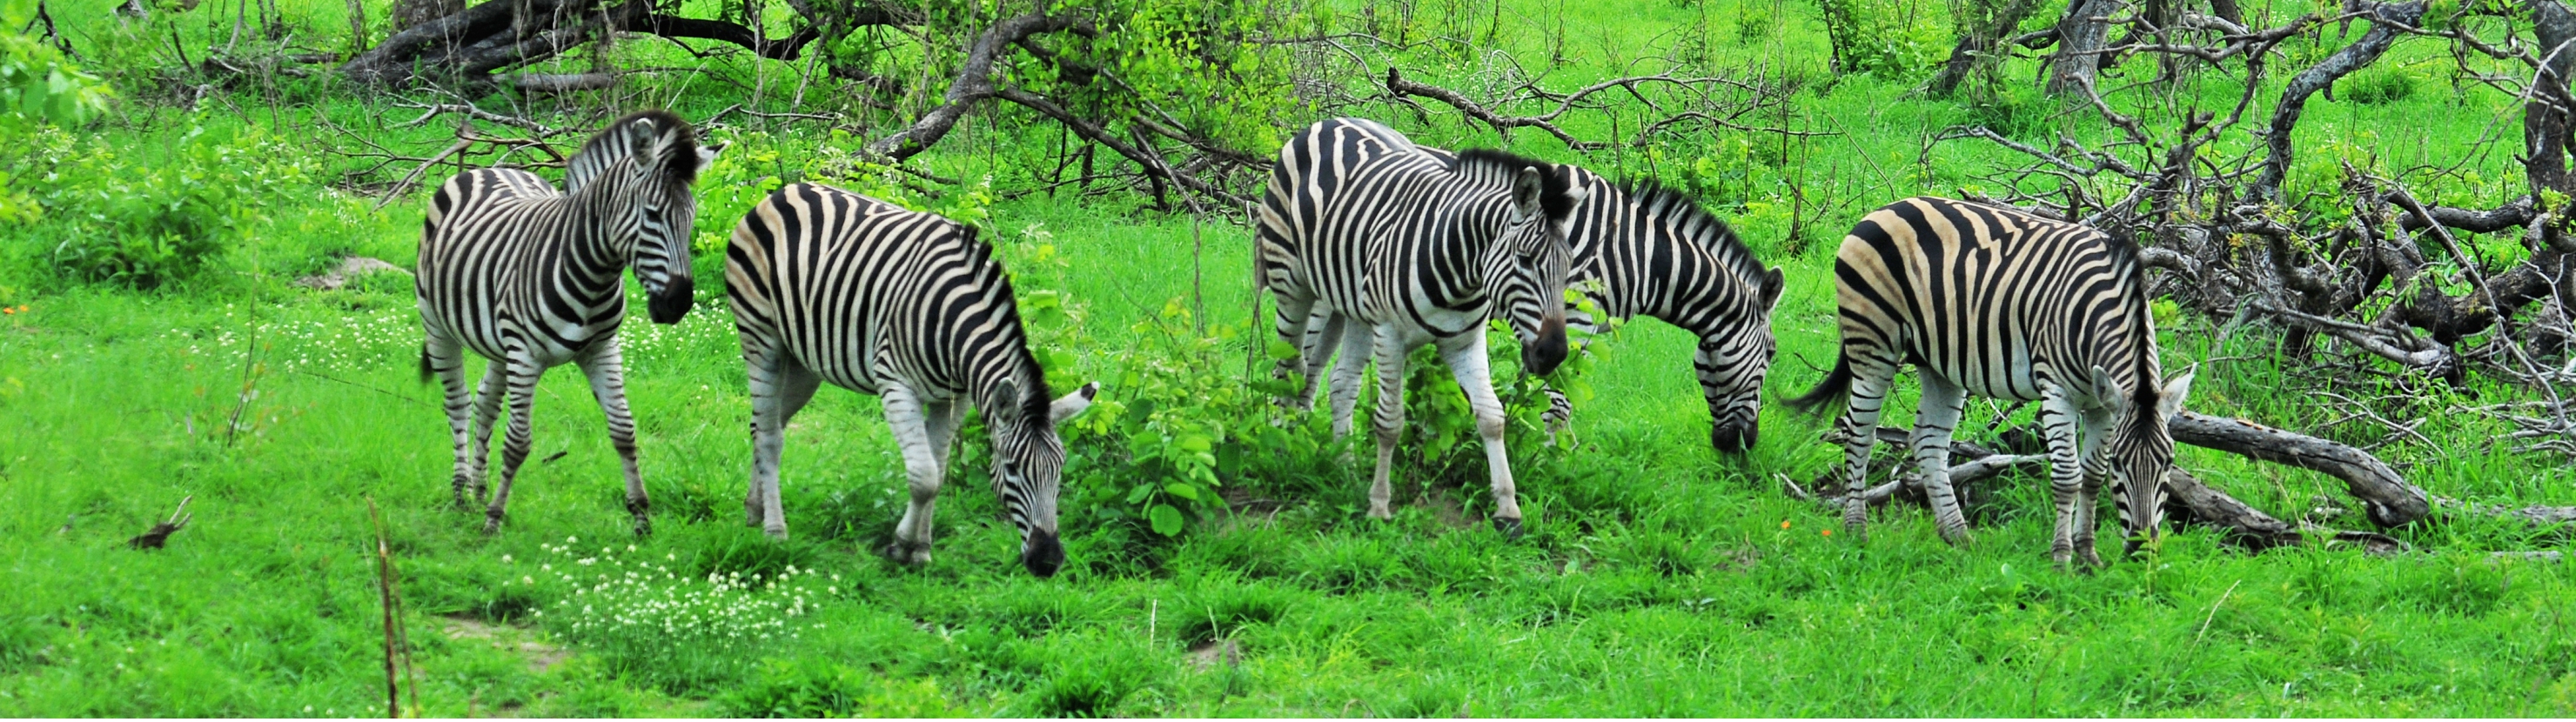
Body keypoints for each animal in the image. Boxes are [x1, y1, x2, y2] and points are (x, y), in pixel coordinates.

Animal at [417, 108, 715, 536]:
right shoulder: (525, 354)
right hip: (437, 323)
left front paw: (641, 517)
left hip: (499, 342)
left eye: (691, 219)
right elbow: (518, 442)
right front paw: (494, 519)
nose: (677, 304)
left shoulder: (601, 349)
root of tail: (488, 168)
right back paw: (460, 493)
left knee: (486, 402)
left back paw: (478, 488)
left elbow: (624, 431)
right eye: (652, 215)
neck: (595, 273)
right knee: (458, 403)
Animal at [726, 184, 1097, 575]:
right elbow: (925, 477)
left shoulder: (955, 398)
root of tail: (784, 191)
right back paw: (775, 532)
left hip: (802, 361)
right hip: (760, 336)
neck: (952, 327)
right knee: (769, 436)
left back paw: (755, 508)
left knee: (767, 425)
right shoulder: (896, 385)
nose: (1047, 562)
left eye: (1059, 470)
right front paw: (901, 545)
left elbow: (940, 469)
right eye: (1012, 469)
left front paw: (921, 547)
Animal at [1257, 117, 1576, 536]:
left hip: (1349, 304)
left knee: (1340, 381)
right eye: (1524, 260)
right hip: (1292, 283)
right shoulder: (1390, 334)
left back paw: (1345, 466)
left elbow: (1492, 416)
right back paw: (1282, 448)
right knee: (1289, 370)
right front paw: (1379, 506)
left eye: (1568, 265)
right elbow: (1390, 422)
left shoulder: (1464, 341)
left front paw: (1508, 509)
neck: (1462, 272)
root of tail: (1329, 121)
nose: (1552, 353)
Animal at [1298, 152, 1782, 451]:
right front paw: (1553, 459)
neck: (1633, 254)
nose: (1743, 445)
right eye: (1772, 355)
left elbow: (1532, 392)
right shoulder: (1575, 319)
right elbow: (1558, 401)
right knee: (1305, 359)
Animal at [1793, 197, 2194, 570]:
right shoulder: (2057, 392)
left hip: (1939, 361)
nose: (2143, 552)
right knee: (1859, 433)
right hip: (1873, 342)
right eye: (2121, 466)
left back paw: (1958, 536)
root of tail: (1884, 208)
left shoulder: (2101, 404)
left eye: (2169, 462)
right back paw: (1856, 530)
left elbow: (2092, 477)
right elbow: (2069, 477)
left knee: (1927, 440)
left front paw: (2088, 556)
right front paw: (2062, 559)